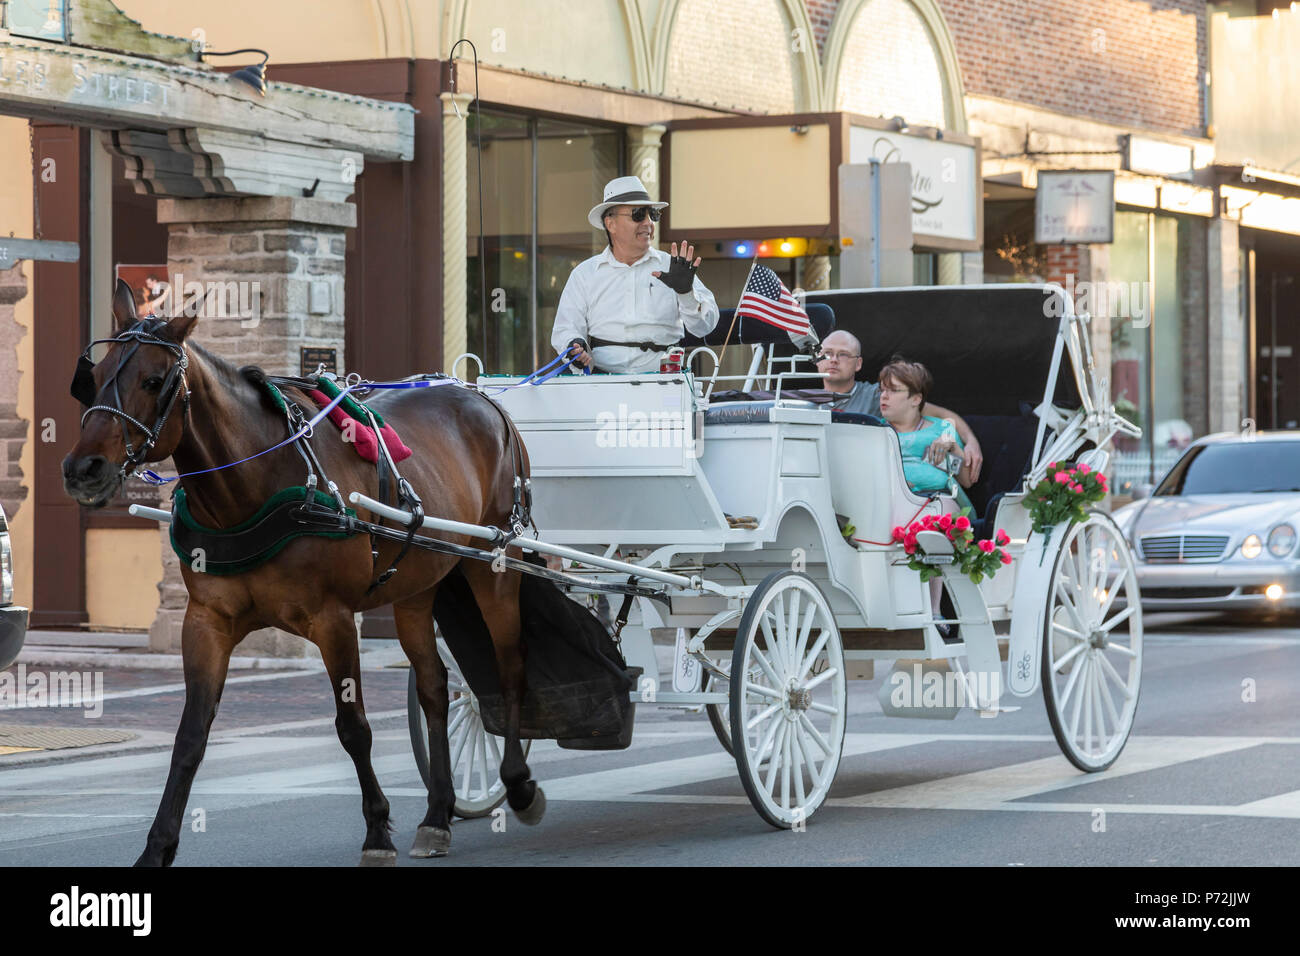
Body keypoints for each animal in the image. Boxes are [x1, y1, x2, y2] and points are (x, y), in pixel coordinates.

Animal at [59, 282, 538, 868]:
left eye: (153, 380)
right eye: (96, 376)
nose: (82, 470)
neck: (252, 489)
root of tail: (484, 398)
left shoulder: (333, 619)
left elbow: (354, 728)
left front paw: (377, 831)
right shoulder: (207, 621)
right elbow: (190, 736)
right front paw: (157, 847)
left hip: (494, 567)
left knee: (509, 667)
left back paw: (517, 783)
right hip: (417, 585)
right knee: (433, 687)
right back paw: (438, 814)